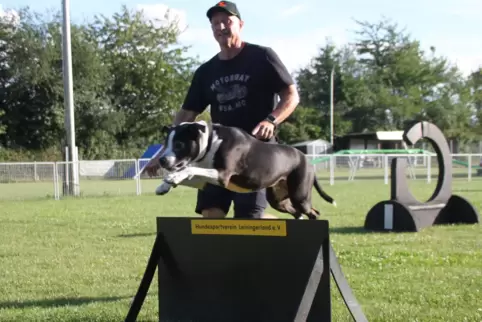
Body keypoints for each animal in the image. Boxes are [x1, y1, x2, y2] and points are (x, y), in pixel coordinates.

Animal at [154, 122, 336, 220]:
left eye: (179, 144)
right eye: (166, 143)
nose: (161, 160)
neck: (211, 141)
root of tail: (306, 159)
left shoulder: (222, 175)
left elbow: (189, 167)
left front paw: (173, 177)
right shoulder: (205, 177)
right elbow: (190, 171)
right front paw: (165, 184)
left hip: (300, 195)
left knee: (313, 212)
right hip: (279, 199)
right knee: (297, 212)